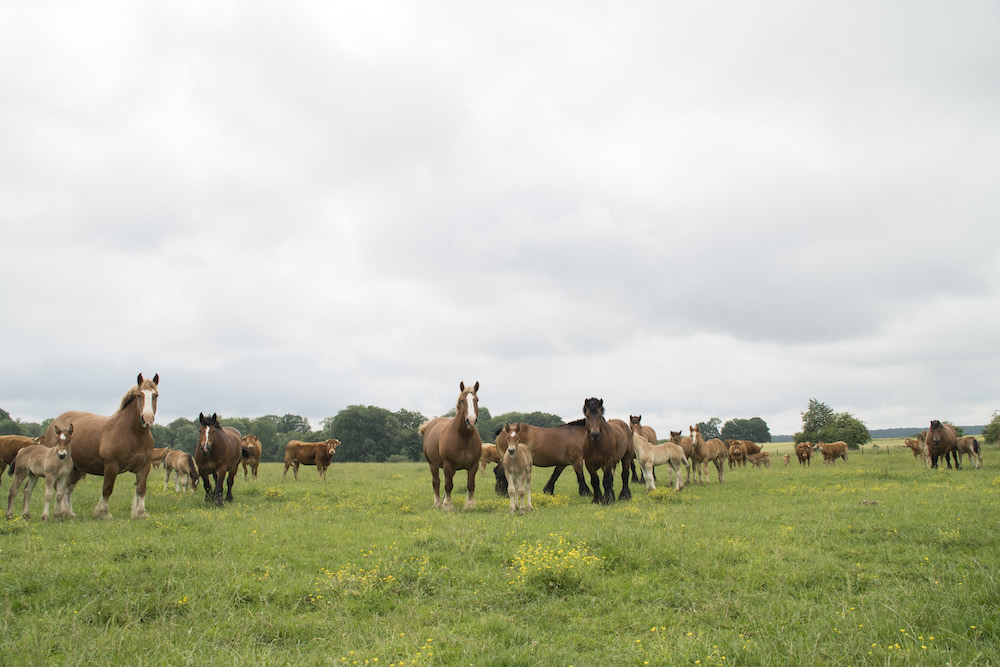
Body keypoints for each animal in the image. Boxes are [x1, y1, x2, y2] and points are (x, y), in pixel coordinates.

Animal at [50, 370, 159, 520]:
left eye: (155, 395)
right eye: (139, 395)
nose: (147, 419)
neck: (133, 435)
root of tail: (54, 422)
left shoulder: (144, 467)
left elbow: (141, 489)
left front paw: (140, 513)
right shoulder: (111, 466)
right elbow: (107, 489)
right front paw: (103, 513)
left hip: (77, 468)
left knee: (68, 488)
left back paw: (68, 512)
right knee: (58, 488)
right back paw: (59, 512)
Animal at [418, 380, 484, 512]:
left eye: (477, 399)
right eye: (462, 400)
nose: (471, 420)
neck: (464, 437)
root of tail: (429, 425)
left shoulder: (473, 466)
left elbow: (470, 485)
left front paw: (470, 505)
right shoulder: (448, 465)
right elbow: (448, 485)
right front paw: (448, 505)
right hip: (433, 465)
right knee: (436, 482)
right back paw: (438, 503)